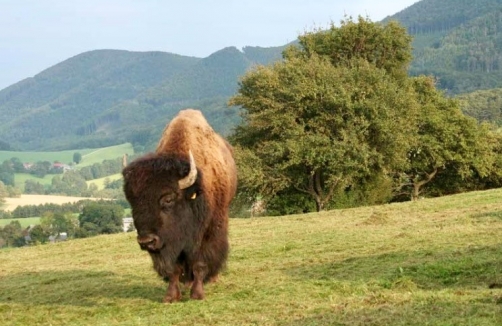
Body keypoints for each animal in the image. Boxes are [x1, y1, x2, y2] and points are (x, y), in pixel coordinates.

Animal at [123, 109, 237, 304]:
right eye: (132, 201)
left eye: (168, 199)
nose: (146, 241)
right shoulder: (170, 243)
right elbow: (174, 269)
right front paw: (170, 296)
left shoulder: (206, 233)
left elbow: (200, 263)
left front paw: (197, 295)